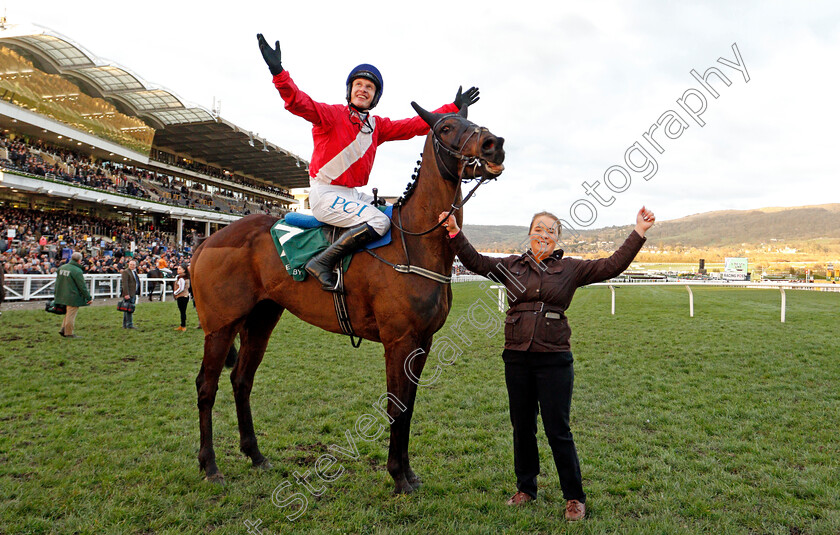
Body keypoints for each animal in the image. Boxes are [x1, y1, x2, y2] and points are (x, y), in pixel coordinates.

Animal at [190, 101, 506, 494]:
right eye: (446, 127)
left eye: (469, 120)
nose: (494, 144)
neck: (413, 241)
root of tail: (207, 240)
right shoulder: (399, 341)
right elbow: (396, 405)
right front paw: (398, 475)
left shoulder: (423, 341)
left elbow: (408, 407)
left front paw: (408, 473)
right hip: (221, 325)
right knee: (207, 386)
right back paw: (210, 464)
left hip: (261, 319)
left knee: (241, 380)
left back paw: (255, 454)